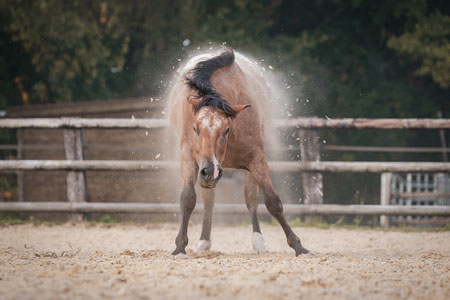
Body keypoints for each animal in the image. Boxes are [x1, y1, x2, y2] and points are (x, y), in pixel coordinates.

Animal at [169, 48, 310, 256]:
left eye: (226, 129)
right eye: (195, 128)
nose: (210, 171)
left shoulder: (257, 158)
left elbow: (272, 201)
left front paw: (298, 245)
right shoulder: (189, 157)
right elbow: (187, 198)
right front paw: (180, 246)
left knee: (251, 198)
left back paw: (258, 241)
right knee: (209, 201)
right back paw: (204, 240)